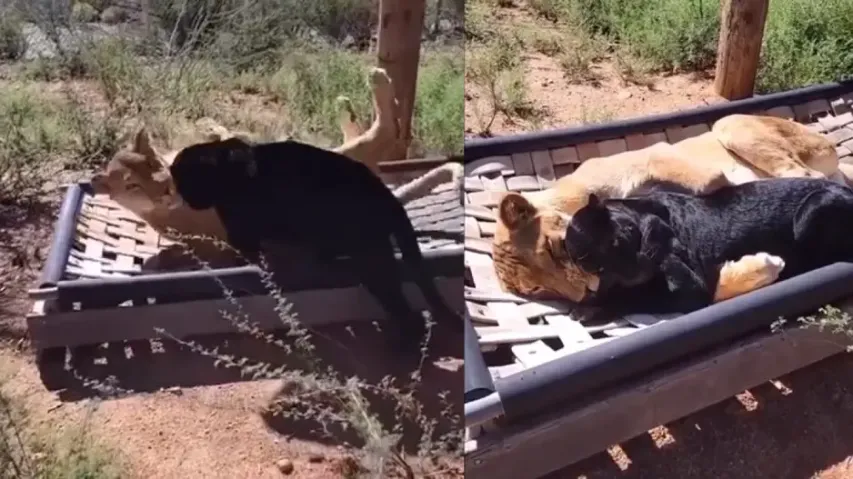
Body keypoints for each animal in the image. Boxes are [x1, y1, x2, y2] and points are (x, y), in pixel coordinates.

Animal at [492, 113, 844, 304]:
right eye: (538, 290)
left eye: (552, 248)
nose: (585, 296)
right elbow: (709, 288)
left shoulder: (657, 154)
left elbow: (713, 183)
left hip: (729, 124)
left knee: (806, 177)